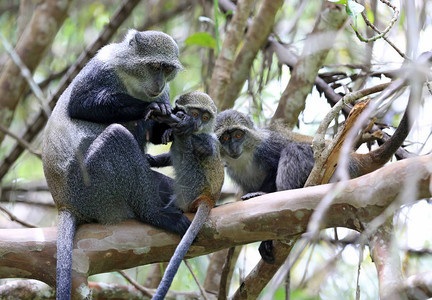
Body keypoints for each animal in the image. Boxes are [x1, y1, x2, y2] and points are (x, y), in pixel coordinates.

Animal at [43, 29, 190, 300]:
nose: (158, 84)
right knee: (116, 136)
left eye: (166, 69)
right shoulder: (102, 65)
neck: (134, 81)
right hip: (92, 189)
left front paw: (175, 124)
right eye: (154, 66)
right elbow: (79, 103)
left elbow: (156, 132)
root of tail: (64, 203)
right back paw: (155, 214)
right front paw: (151, 107)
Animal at [148, 91, 224, 300]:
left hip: (192, 185)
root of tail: (209, 198)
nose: (196, 123)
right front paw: (152, 159)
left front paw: (184, 123)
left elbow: (207, 149)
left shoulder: (208, 139)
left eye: (205, 117)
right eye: (196, 113)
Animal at [214, 109, 410, 264]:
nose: (233, 147)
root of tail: (353, 158)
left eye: (238, 135)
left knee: (293, 150)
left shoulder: (268, 147)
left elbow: (275, 164)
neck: (245, 156)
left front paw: (259, 195)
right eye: (225, 137)